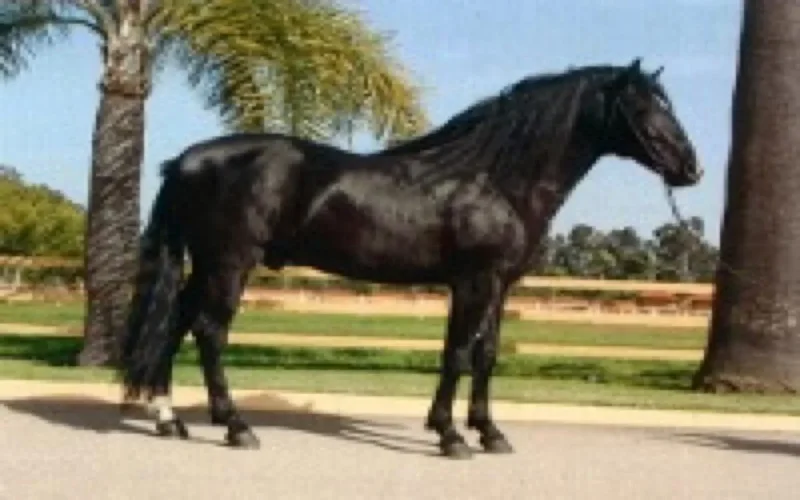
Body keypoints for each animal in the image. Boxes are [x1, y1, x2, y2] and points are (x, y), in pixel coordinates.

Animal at [120, 58, 703, 459]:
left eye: (669, 104)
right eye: (644, 107)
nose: (691, 168)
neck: (496, 179)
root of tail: (187, 159)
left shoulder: (499, 284)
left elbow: (486, 355)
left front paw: (490, 432)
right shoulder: (472, 281)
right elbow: (457, 355)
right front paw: (450, 436)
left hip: (205, 265)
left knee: (174, 324)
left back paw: (168, 419)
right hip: (230, 263)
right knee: (209, 332)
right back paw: (236, 426)